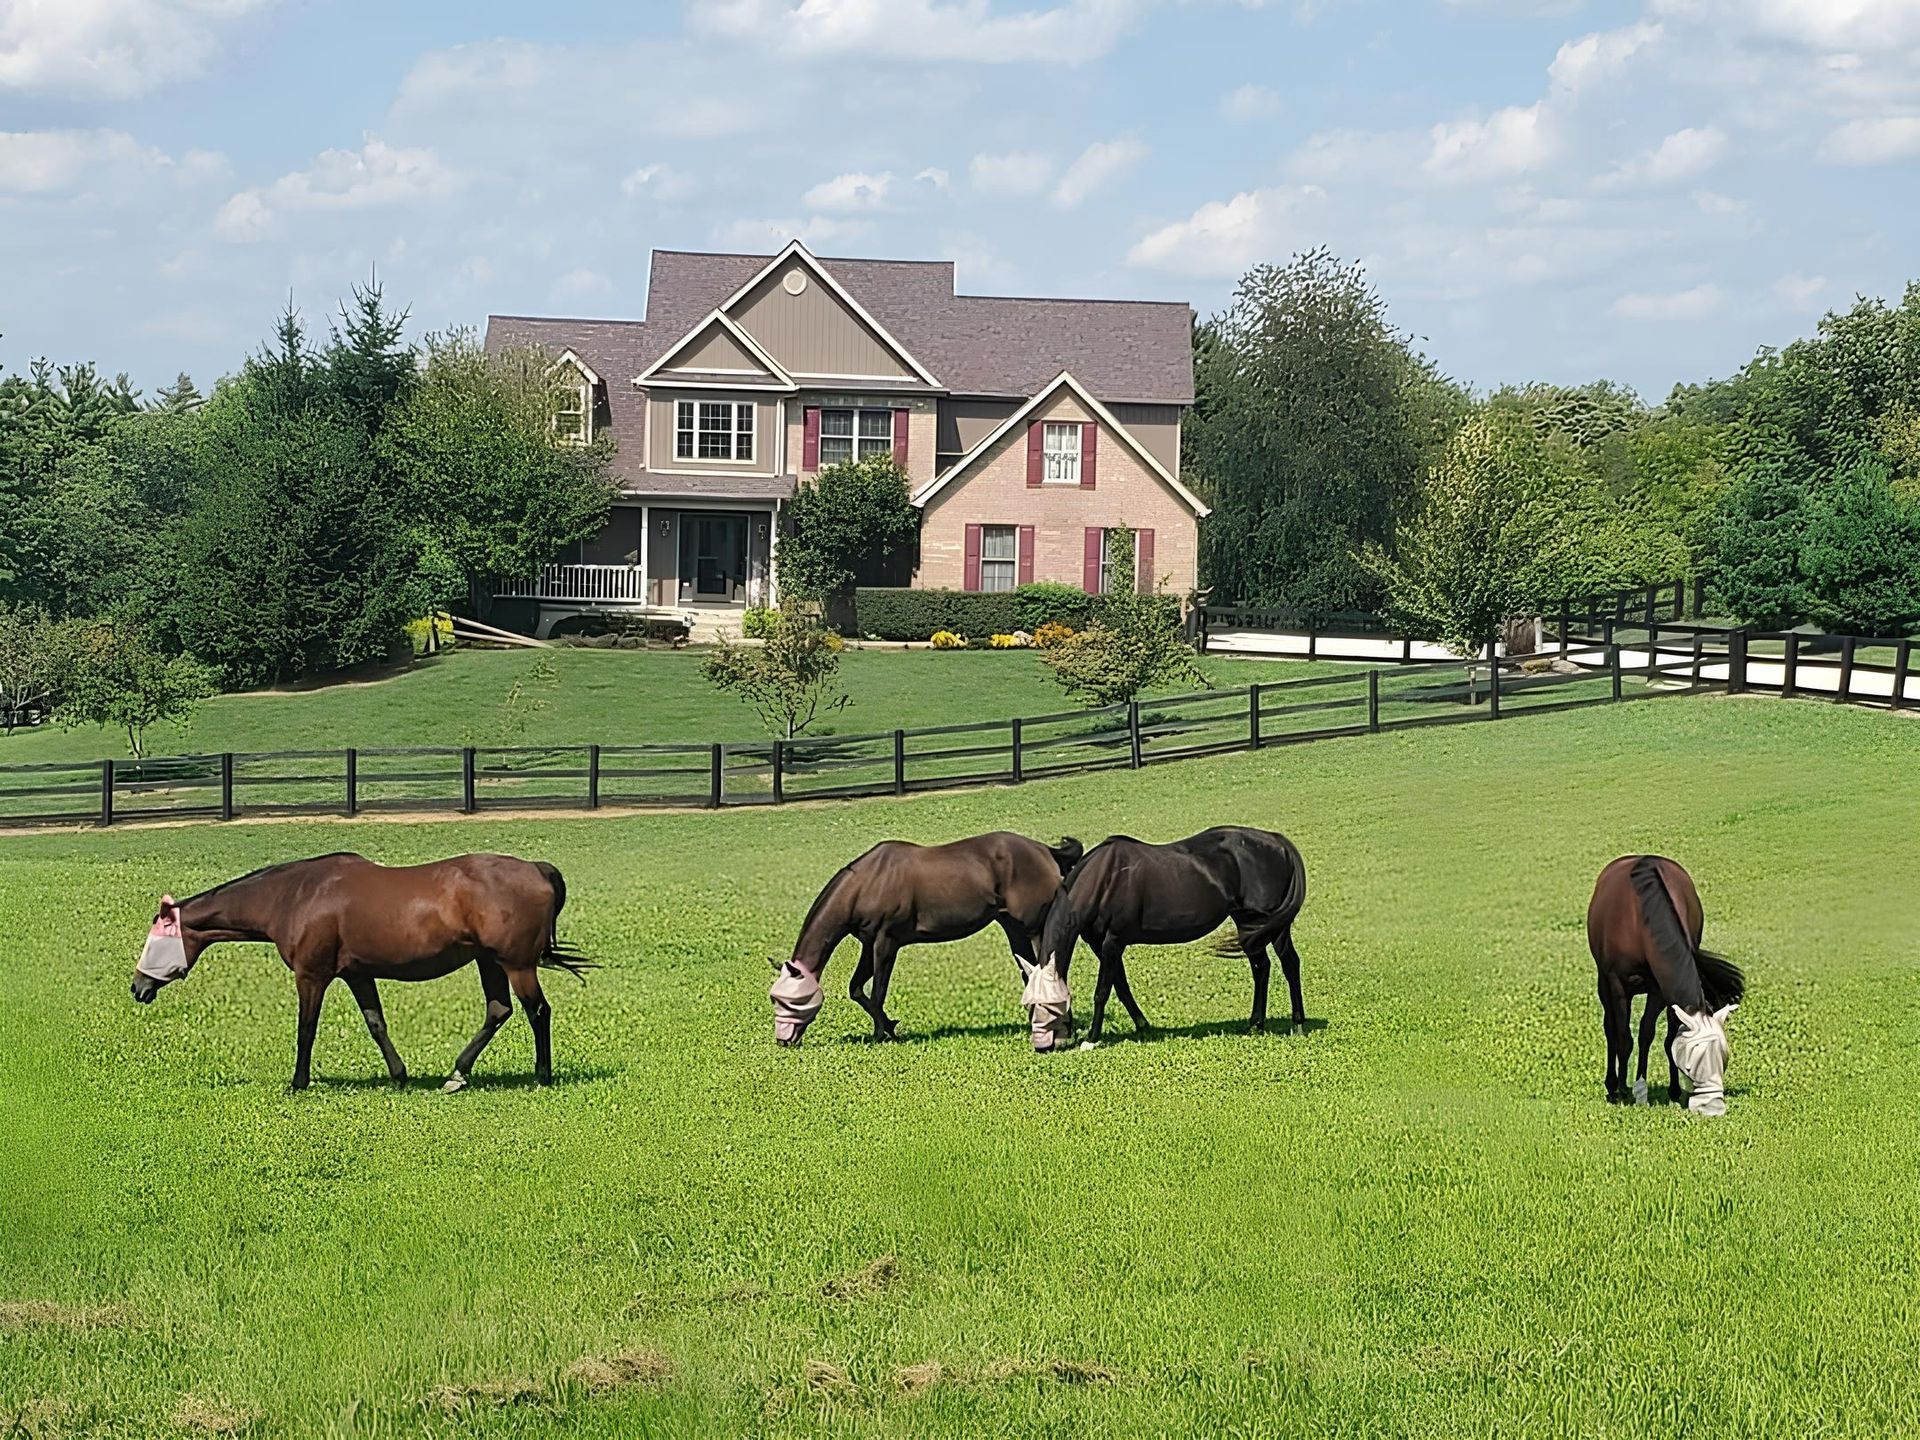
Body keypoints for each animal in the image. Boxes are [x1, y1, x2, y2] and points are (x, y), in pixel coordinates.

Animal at [130, 853, 594, 1091]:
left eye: (152, 941)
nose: (137, 987)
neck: (293, 897)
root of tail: (538, 869)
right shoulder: (357, 974)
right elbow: (376, 1024)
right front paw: (399, 1076)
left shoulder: (312, 975)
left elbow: (306, 1028)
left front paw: (298, 1082)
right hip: (489, 961)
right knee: (499, 1011)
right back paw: (457, 1074)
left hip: (516, 964)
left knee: (538, 1012)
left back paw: (542, 1077)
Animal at [768, 832, 1082, 1047]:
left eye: (785, 1000)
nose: (783, 1040)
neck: (869, 881)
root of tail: (1046, 850)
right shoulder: (869, 945)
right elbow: (857, 989)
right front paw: (888, 1026)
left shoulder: (886, 943)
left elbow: (877, 992)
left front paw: (882, 1033)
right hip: (1015, 931)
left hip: (1035, 930)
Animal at [1042, 826, 1308, 1045]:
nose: (1051, 1045)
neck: (1104, 877)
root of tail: (1277, 841)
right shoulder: (1100, 944)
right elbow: (1121, 985)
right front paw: (1142, 1025)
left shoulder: (1113, 941)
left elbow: (1103, 990)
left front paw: (1091, 1039)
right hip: (1251, 926)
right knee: (1262, 967)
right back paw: (1256, 1024)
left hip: (1269, 926)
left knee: (1288, 964)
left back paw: (1296, 1024)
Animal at [1587, 855, 1744, 1113]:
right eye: (1690, 1065)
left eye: (1724, 1058)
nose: (1713, 1107)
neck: (1641, 920)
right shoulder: (1618, 984)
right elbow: (1624, 1037)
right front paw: (1623, 1092)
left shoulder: (1660, 989)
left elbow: (1654, 1035)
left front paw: (1661, 1091)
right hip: (1604, 983)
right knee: (1610, 1028)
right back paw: (1613, 1085)